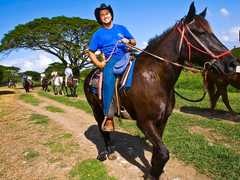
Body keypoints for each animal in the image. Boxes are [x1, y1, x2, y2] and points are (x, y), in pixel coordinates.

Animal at [83, 2, 236, 179]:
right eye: (201, 33)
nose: (232, 64)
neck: (154, 78)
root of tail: (92, 74)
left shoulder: (162, 121)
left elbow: (158, 151)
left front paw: (154, 168)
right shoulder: (145, 122)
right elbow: (164, 153)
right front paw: (154, 173)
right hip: (96, 109)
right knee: (102, 129)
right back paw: (108, 151)